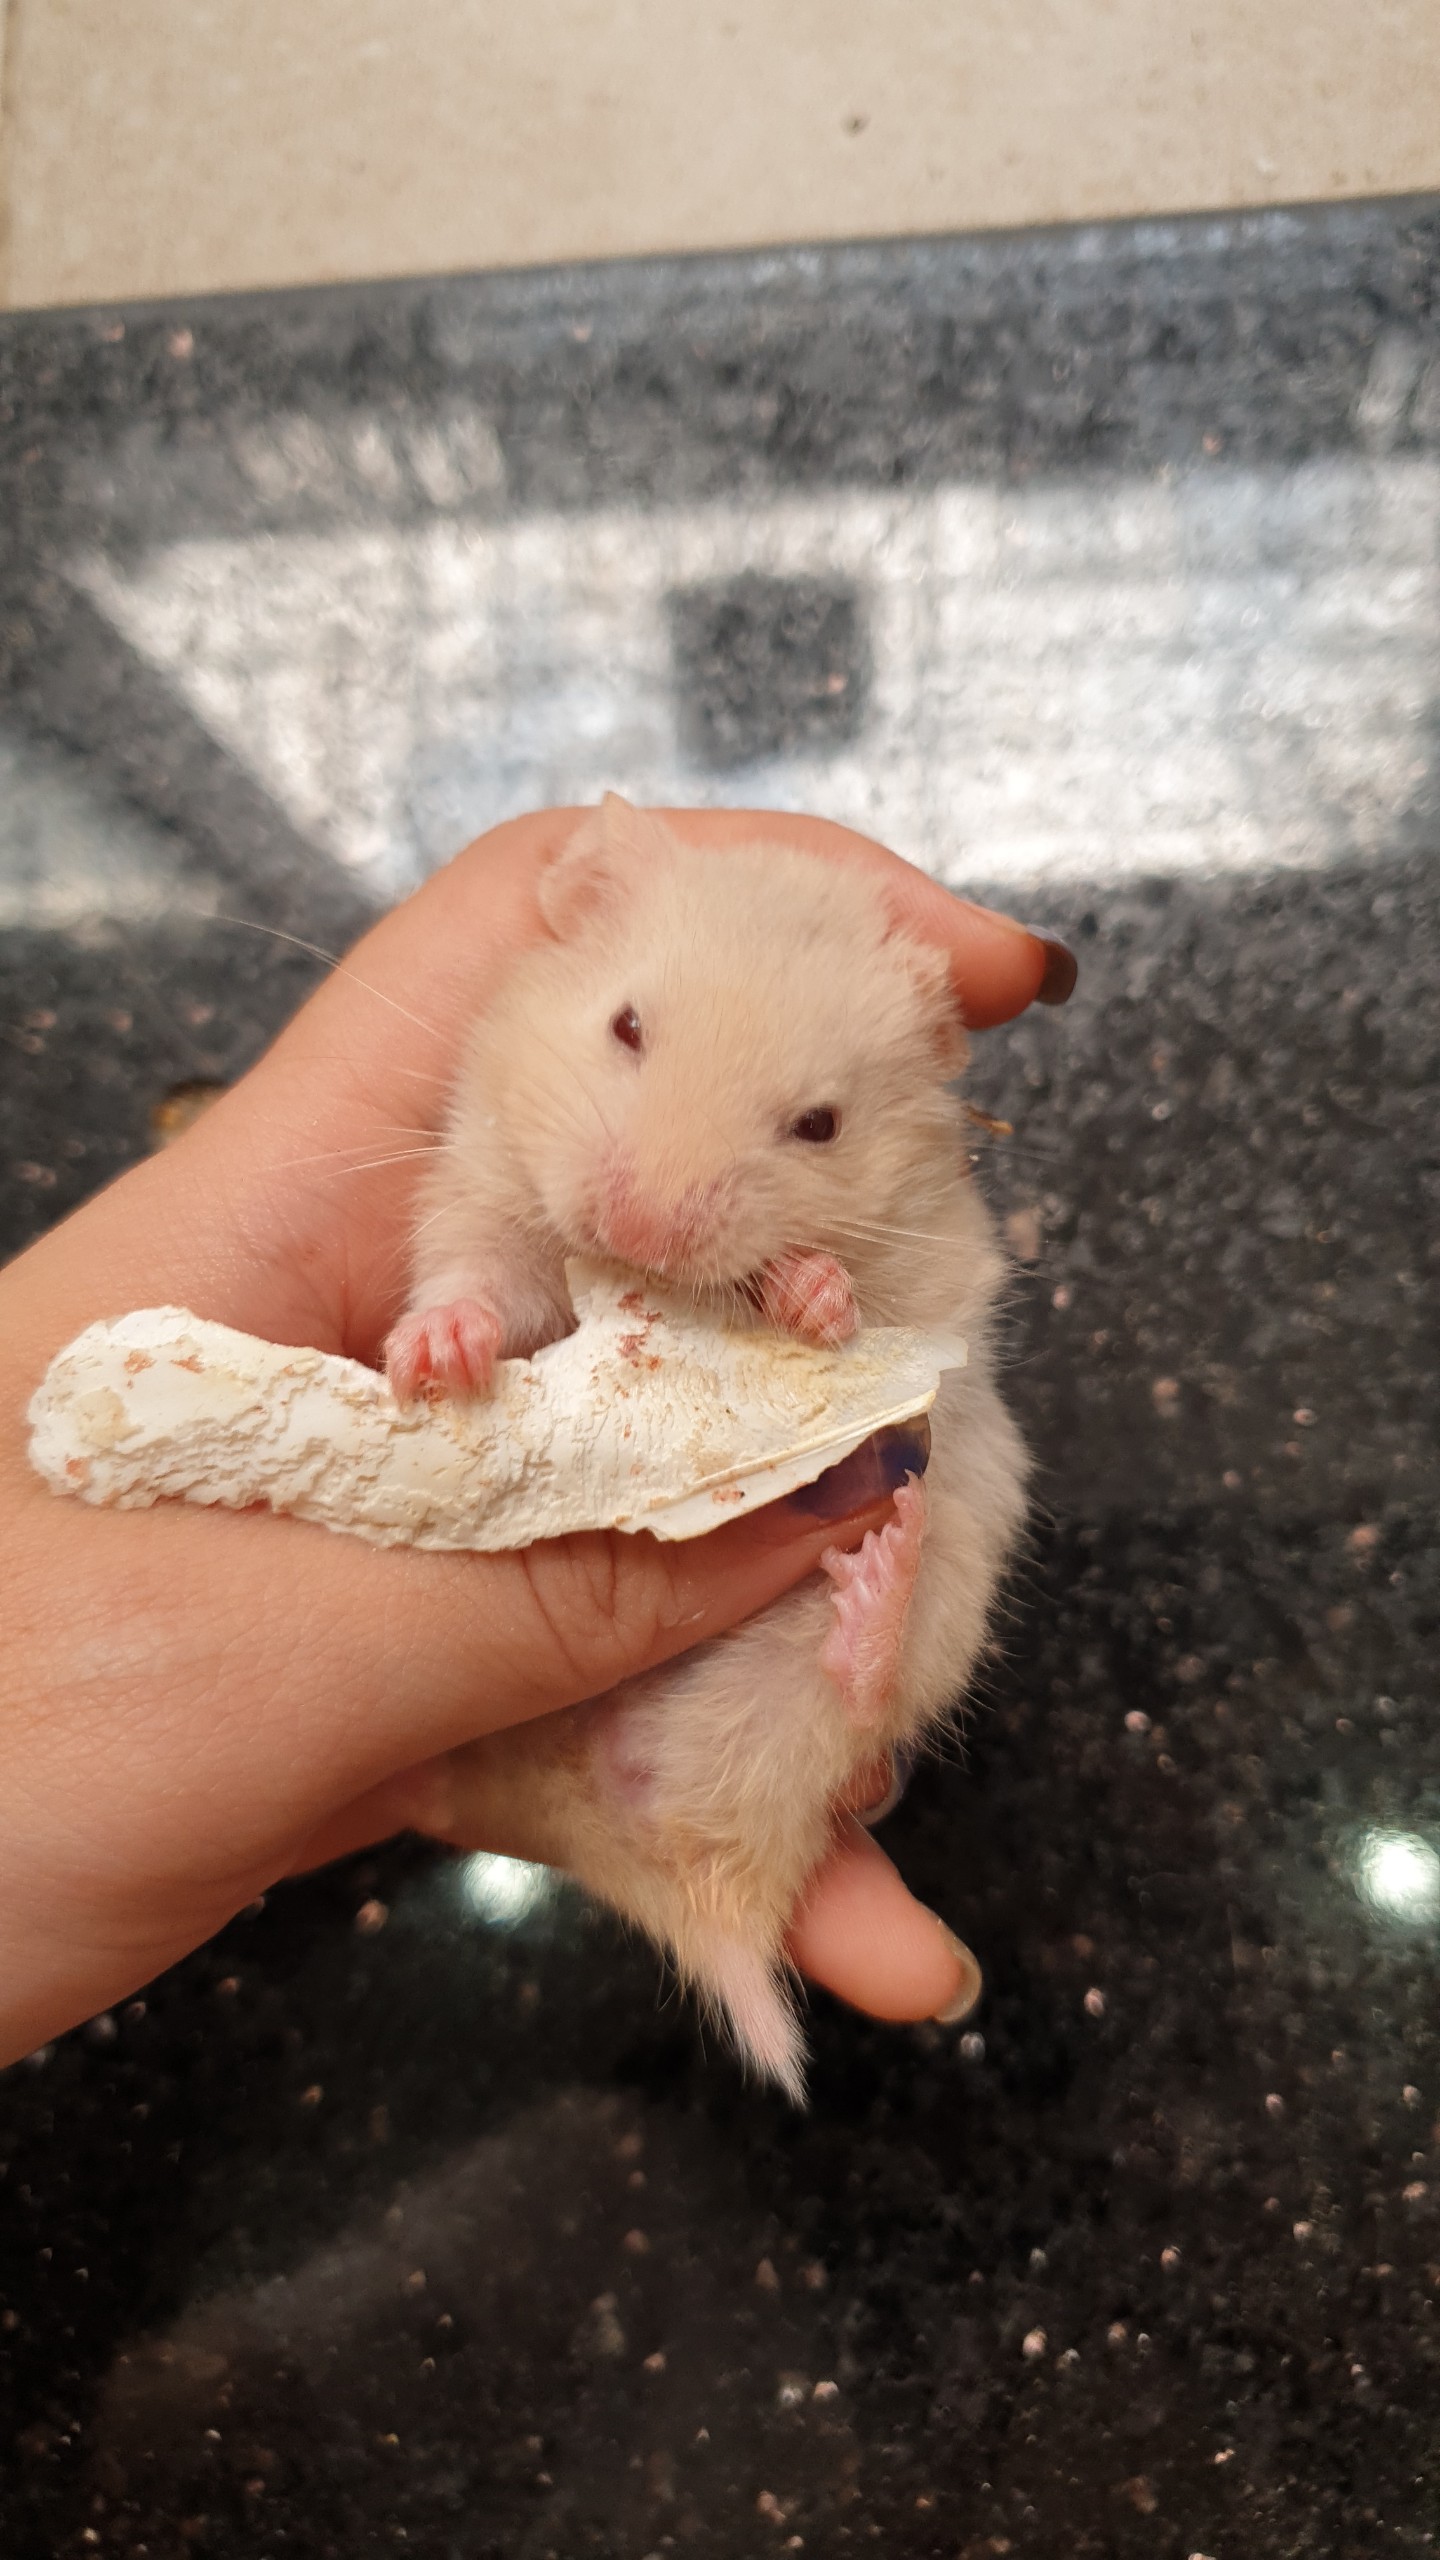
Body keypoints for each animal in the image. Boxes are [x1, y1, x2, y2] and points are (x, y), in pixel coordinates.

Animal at [385, 796, 1029, 2098]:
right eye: (626, 1025)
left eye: (820, 1125)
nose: (639, 1229)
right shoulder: (477, 1177)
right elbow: (475, 1274)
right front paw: (435, 1358)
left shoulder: (933, 1264)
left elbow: (870, 1302)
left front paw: (814, 1295)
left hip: (943, 1582)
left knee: (860, 1694)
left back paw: (879, 1576)